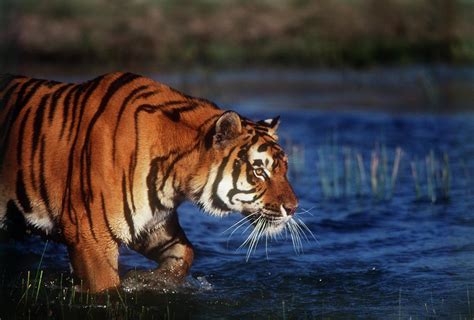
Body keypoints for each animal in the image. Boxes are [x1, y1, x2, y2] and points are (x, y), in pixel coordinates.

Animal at [0, 72, 296, 292]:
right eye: (259, 171)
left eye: (284, 168)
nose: (293, 208)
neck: (174, 179)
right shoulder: (90, 235)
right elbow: (106, 289)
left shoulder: (151, 223)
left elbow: (185, 253)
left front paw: (153, 280)